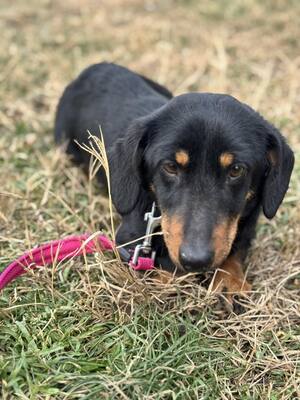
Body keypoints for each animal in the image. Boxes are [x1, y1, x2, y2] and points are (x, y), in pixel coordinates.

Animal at [54, 61, 296, 300]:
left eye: (236, 169)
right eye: (170, 167)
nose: (196, 260)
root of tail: (95, 67)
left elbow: (236, 249)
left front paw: (230, 281)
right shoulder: (128, 241)